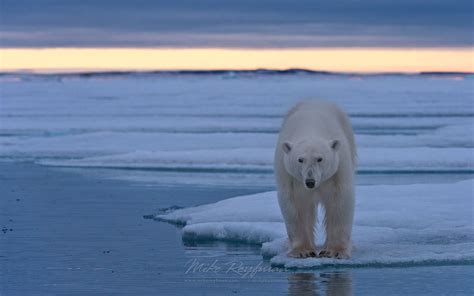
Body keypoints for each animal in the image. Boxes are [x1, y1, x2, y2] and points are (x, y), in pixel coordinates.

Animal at [274, 100, 356, 258]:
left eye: (320, 159)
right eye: (300, 159)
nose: (310, 182)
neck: (311, 126)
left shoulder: (338, 169)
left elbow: (340, 202)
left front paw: (335, 251)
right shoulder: (289, 175)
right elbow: (295, 206)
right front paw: (302, 250)